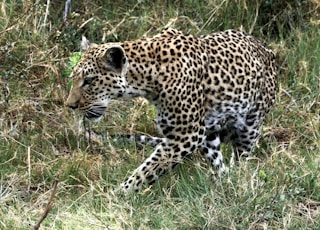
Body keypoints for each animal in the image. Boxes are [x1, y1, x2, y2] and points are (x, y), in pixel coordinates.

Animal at [65, 27, 278, 193]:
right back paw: (221, 184)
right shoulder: (187, 134)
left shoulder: (186, 135)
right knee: (219, 165)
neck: (145, 79)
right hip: (209, 135)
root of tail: (267, 50)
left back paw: (237, 181)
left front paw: (118, 195)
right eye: (75, 78)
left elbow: (147, 170)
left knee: (241, 160)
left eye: (89, 81)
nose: (70, 105)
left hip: (250, 125)